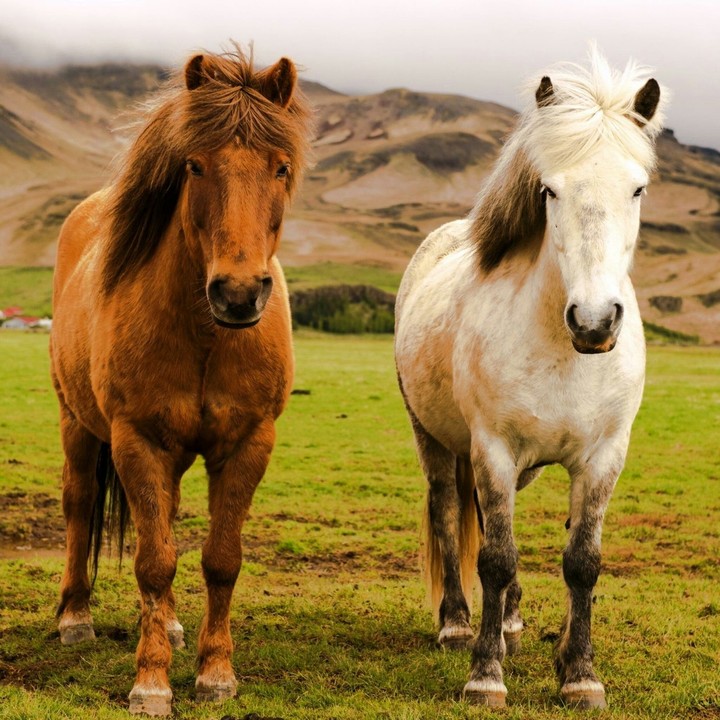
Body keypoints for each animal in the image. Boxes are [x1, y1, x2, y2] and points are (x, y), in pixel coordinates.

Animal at [49, 47, 312, 716]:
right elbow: (152, 562)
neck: (205, 337)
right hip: (78, 423)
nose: (238, 293)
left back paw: (165, 624)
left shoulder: (248, 444)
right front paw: (151, 683)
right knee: (80, 504)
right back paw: (75, 617)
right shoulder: (136, 439)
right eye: (194, 165)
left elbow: (219, 559)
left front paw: (215, 673)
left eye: (281, 167)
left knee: (162, 516)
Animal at [394, 48, 665, 709]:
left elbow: (582, 560)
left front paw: (579, 672)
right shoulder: (492, 448)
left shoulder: (603, 457)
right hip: (433, 438)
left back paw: (513, 623)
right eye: (549, 189)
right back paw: (457, 623)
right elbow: (494, 556)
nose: (594, 321)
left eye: (637, 188)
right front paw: (485, 674)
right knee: (448, 512)